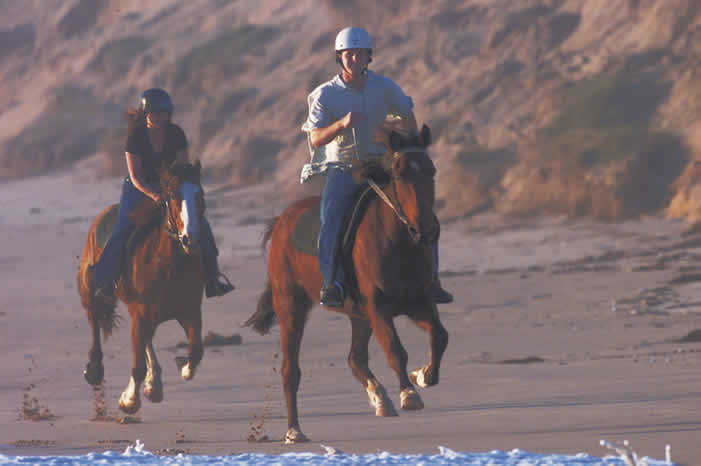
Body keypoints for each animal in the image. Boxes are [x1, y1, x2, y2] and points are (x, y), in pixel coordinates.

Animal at [78, 161, 208, 416]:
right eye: (173, 195)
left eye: (200, 195)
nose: (191, 239)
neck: (169, 265)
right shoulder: (141, 312)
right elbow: (137, 365)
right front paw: (129, 401)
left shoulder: (189, 311)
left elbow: (196, 352)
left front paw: (181, 366)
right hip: (90, 291)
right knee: (94, 320)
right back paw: (95, 370)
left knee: (146, 339)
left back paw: (154, 383)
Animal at [241, 124, 448, 444]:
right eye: (400, 173)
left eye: (431, 170)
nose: (426, 229)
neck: (397, 241)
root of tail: (282, 220)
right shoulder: (379, 308)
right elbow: (395, 349)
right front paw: (409, 393)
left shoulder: (417, 302)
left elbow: (439, 336)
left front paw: (423, 375)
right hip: (291, 307)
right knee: (290, 371)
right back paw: (294, 430)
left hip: (358, 315)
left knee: (355, 359)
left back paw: (380, 399)